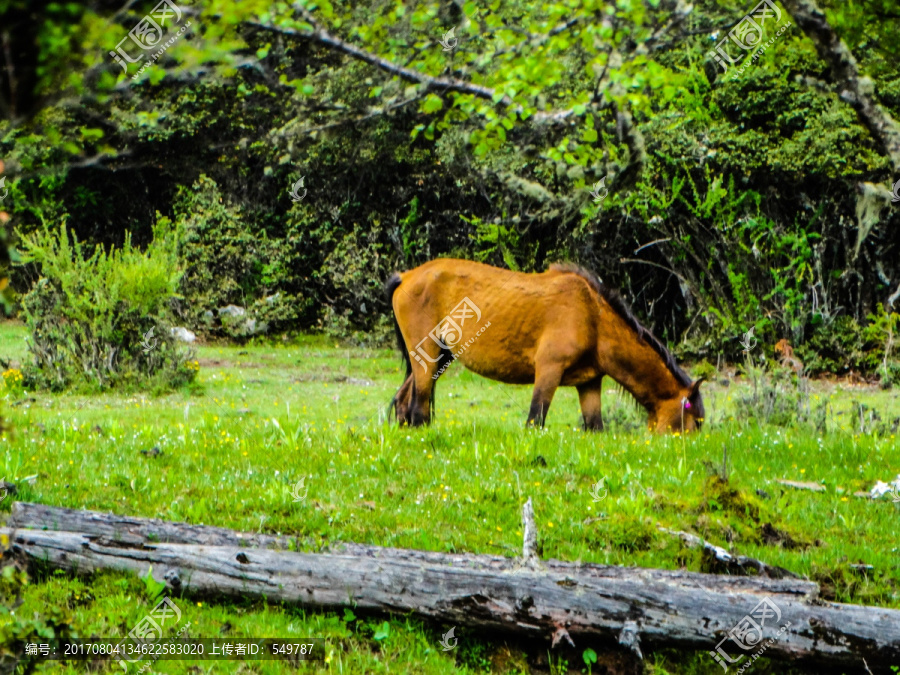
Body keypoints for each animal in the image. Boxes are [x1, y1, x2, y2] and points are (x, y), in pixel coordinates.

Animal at [384, 256, 704, 436]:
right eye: (696, 421)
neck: (593, 316)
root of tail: (406, 275)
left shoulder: (589, 383)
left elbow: (596, 428)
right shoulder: (548, 370)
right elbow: (534, 421)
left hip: (438, 357)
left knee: (403, 402)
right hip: (429, 358)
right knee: (418, 410)